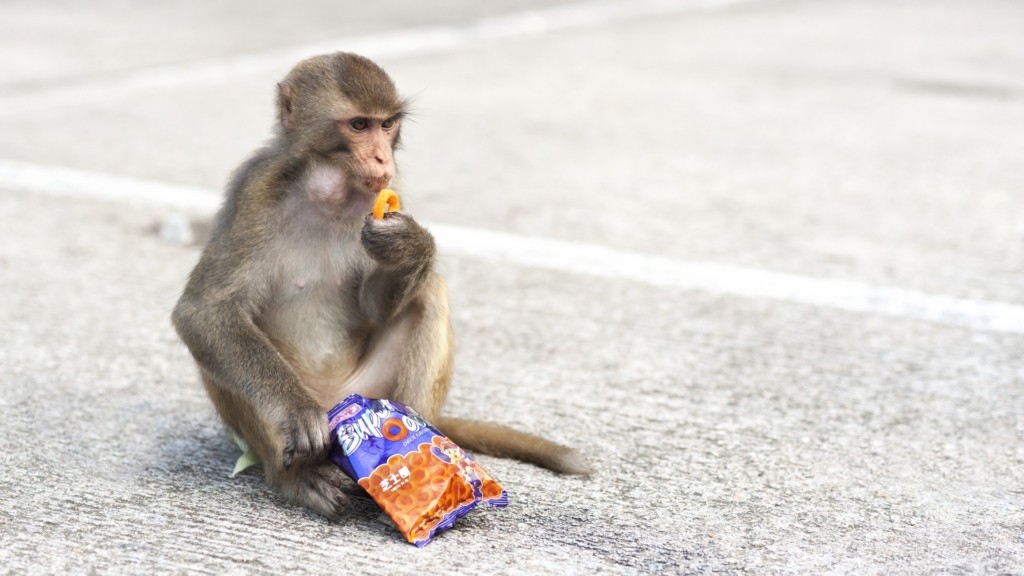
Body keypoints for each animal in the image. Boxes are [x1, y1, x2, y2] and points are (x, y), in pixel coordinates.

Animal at [172, 52, 591, 519]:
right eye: (359, 125)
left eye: (387, 124)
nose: (381, 158)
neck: (329, 191)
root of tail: (339, 401)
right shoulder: (257, 193)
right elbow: (205, 310)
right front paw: (295, 412)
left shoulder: (391, 192)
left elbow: (376, 306)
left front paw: (411, 246)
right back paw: (297, 478)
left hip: (373, 388)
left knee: (429, 294)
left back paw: (422, 446)